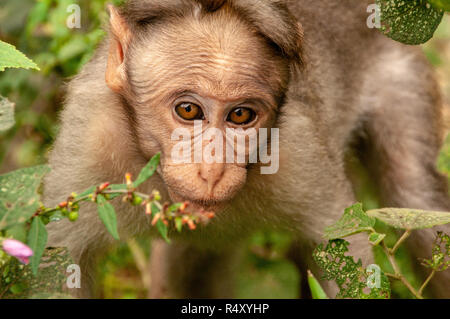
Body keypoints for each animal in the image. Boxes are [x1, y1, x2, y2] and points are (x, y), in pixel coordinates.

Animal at [44, 0, 450, 300]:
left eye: (241, 115)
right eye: (188, 110)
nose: (212, 171)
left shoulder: (297, 152)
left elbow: (343, 243)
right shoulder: (90, 145)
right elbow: (60, 262)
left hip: (400, 73)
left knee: (414, 196)